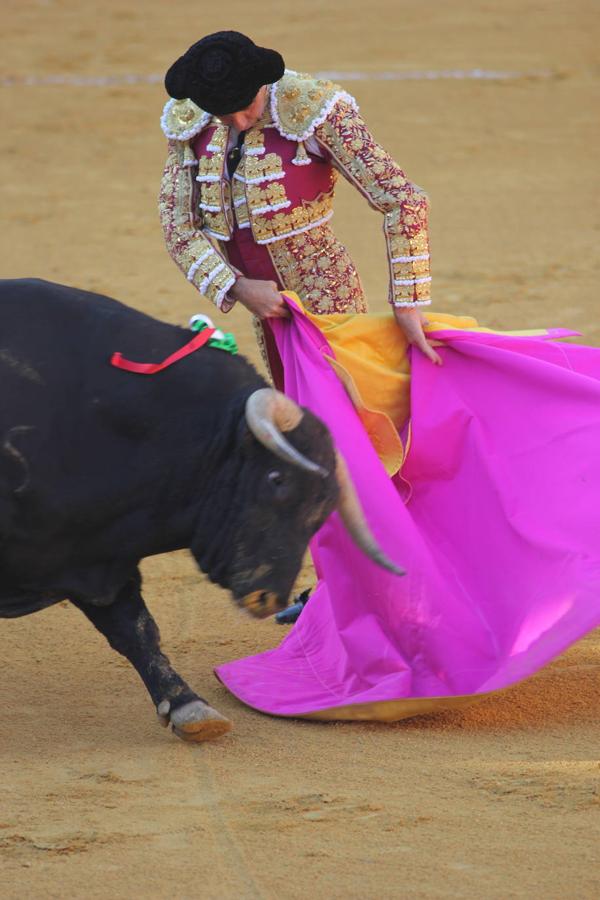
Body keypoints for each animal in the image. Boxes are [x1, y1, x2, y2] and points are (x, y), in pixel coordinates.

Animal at [2, 278, 400, 740]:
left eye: (324, 510)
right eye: (276, 479)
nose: (268, 597)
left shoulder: (96, 553)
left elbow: (136, 628)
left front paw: (190, 708)